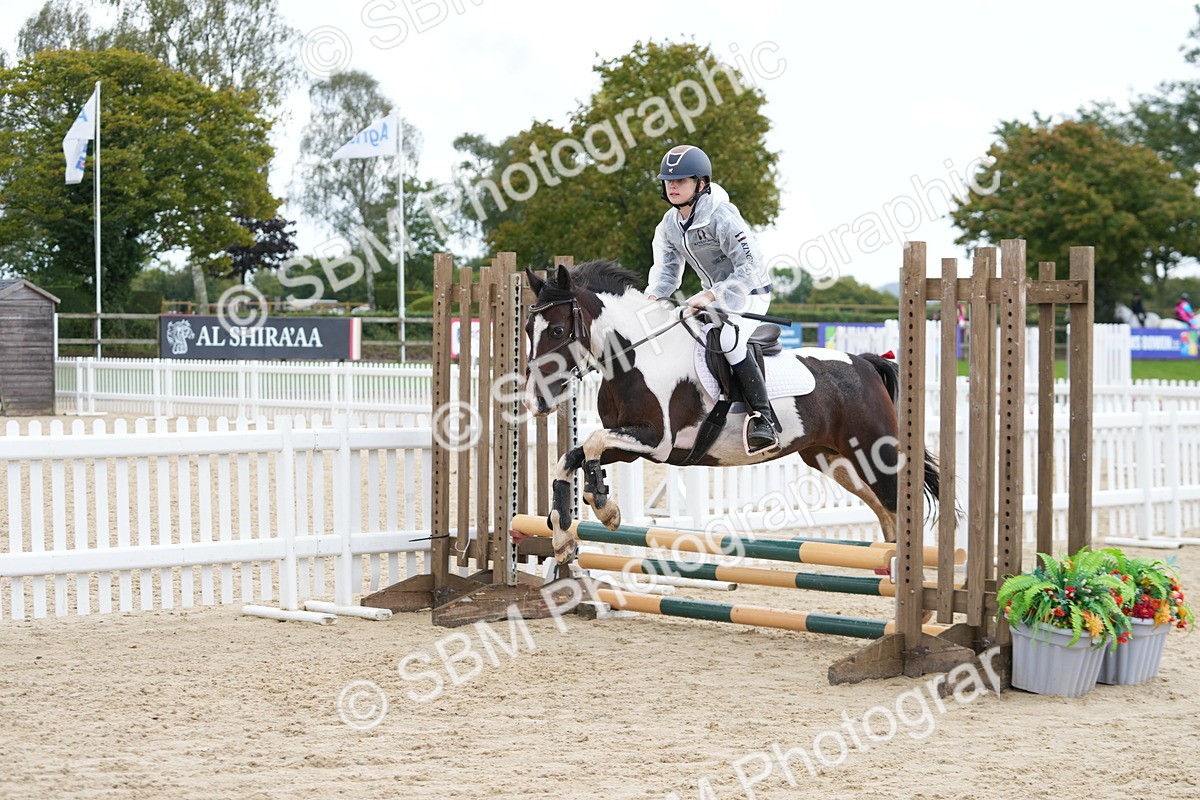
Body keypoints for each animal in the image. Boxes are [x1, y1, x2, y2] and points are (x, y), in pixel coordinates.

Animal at [522, 260, 939, 563]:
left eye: (557, 331)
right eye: (527, 329)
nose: (533, 402)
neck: (636, 357)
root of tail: (865, 362)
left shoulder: (654, 441)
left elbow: (591, 443)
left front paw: (604, 505)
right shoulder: (630, 445)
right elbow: (570, 457)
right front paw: (564, 537)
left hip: (876, 453)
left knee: (903, 508)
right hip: (834, 459)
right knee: (886, 515)